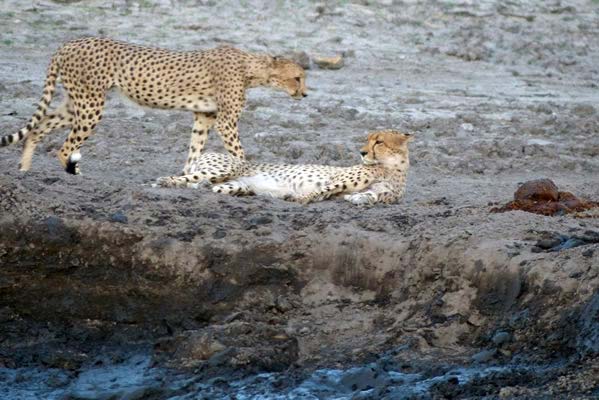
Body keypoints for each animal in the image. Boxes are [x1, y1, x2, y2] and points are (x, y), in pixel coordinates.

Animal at [0, 36, 308, 174]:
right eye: (298, 77)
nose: (305, 94)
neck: (251, 68)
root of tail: (70, 42)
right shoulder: (225, 121)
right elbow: (238, 153)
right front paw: (247, 174)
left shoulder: (205, 117)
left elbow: (195, 149)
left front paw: (188, 177)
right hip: (90, 105)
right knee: (65, 148)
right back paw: (74, 174)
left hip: (77, 103)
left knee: (39, 127)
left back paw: (24, 169)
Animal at [155, 130, 412, 205]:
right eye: (368, 139)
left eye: (379, 141)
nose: (362, 152)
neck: (393, 169)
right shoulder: (338, 181)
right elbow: (321, 191)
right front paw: (299, 198)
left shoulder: (381, 194)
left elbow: (370, 197)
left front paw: (357, 199)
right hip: (221, 169)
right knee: (185, 178)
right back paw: (163, 181)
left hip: (234, 184)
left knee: (212, 187)